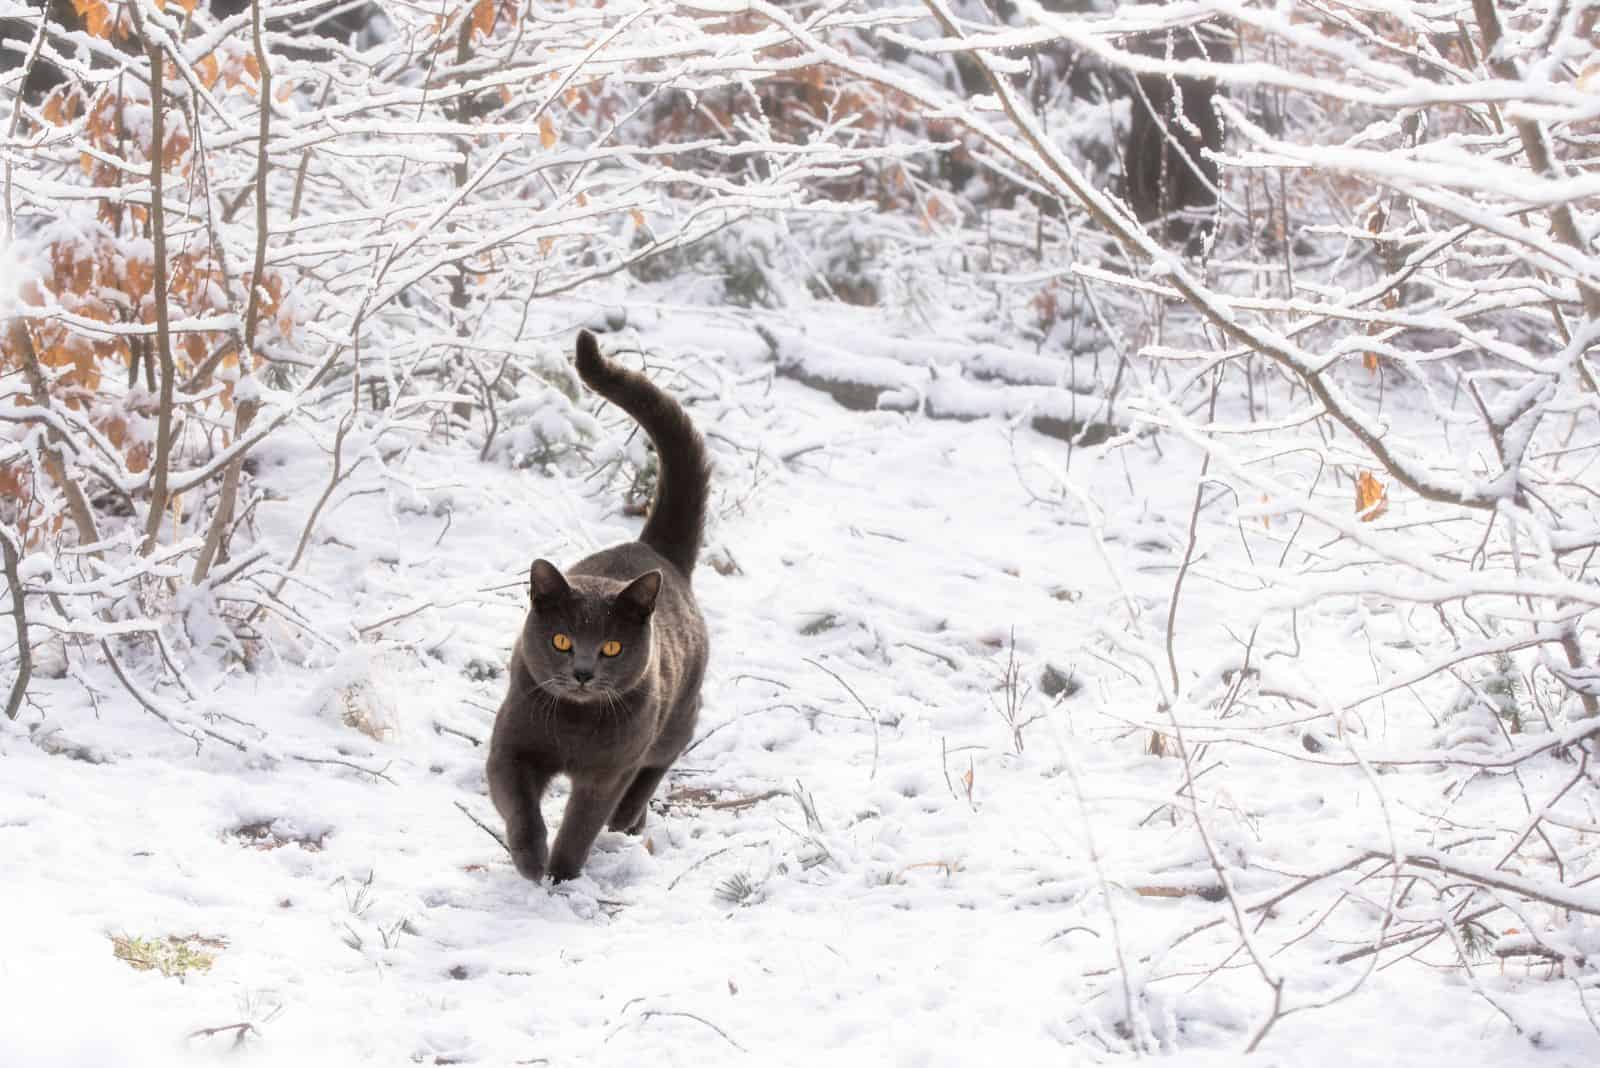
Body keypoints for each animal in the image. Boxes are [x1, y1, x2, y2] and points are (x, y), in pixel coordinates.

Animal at [486, 329, 713, 882]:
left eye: (610, 647)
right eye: (561, 640)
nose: (584, 672)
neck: (573, 728)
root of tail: (656, 550)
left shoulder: (607, 772)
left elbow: (582, 824)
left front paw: (561, 874)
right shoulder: (510, 745)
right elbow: (517, 804)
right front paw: (531, 861)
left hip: (674, 717)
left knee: (658, 762)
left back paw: (629, 818)